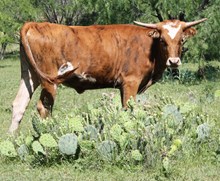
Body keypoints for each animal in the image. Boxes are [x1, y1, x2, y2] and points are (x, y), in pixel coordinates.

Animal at [8, 18, 207, 133]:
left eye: (181, 40)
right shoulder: (131, 82)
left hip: (30, 75)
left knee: (19, 104)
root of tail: (35, 24)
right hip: (49, 80)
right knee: (44, 107)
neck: (150, 47)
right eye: (163, 40)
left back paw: (12, 140)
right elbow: (128, 109)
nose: (173, 61)